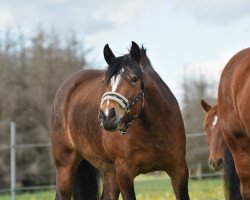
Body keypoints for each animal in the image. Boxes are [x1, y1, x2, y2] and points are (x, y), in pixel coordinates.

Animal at [50, 41, 189, 199]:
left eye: (134, 78)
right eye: (104, 81)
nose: (107, 115)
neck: (153, 130)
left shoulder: (179, 170)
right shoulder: (124, 173)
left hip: (110, 171)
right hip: (65, 166)